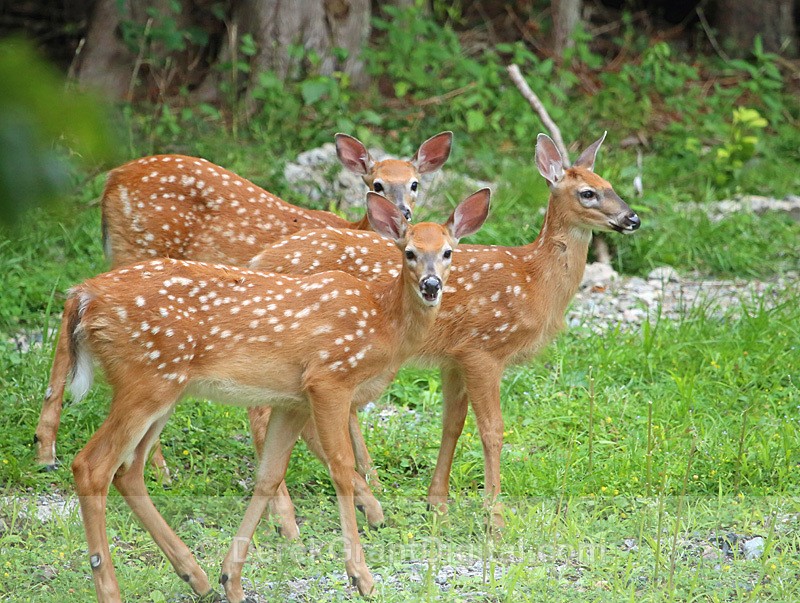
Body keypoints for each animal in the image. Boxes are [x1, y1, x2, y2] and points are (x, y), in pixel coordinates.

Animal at [34, 131, 453, 480]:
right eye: (377, 184)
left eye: (415, 183)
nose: (404, 213)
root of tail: (112, 178)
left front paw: (369, 475)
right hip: (141, 247)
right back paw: (154, 468)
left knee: (74, 296)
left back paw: (46, 450)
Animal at [64, 189, 491, 603]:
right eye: (409, 252)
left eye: (448, 251)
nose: (431, 286)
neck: (382, 320)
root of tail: (83, 295)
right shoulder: (328, 378)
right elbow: (342, 469)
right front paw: (361, 577)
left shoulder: (293, 400)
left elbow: (269, 476)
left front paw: (231, 580)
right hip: (145, 378)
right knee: (91, 466)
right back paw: (112, 591)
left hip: (165, 388)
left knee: (128, 470)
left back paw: (197, 578)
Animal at [246, 133, 641, 531]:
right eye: (588, 193)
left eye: (611, 185)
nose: (632, 218)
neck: (532, 282)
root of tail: (259, 260)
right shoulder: (483, 348)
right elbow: (492, 430)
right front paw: (494, 517)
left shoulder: (455, 357)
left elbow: (452, 425)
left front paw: (437, 503)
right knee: (265, 411)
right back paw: (288, 515)